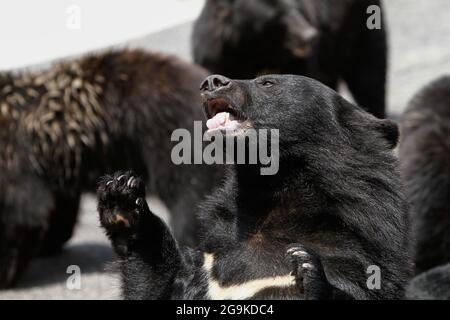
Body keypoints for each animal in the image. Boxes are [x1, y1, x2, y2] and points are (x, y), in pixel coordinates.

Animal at [0, 48, 224, 288]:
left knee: (189, 201)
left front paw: (6, 271)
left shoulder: (17, 158)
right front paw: (49, 243)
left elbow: (23, 213)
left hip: (172, 140)